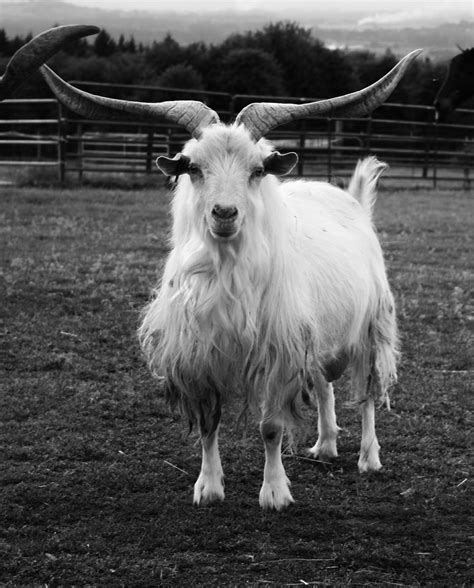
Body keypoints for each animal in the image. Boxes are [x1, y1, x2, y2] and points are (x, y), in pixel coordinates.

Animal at [1, 26, 421, 509]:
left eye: (258, 169)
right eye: (194, 168)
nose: (224, 213)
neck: (227, 274)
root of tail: (354, 201)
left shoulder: (277, 353)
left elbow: (271, 427)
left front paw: (274, 493)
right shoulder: (198, 356)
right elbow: (207, 424)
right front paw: (209, 487)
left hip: (373, 326)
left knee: (369, 393)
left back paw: (368, 458)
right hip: (317, 331)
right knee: (324, 383)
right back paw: (326, 444)